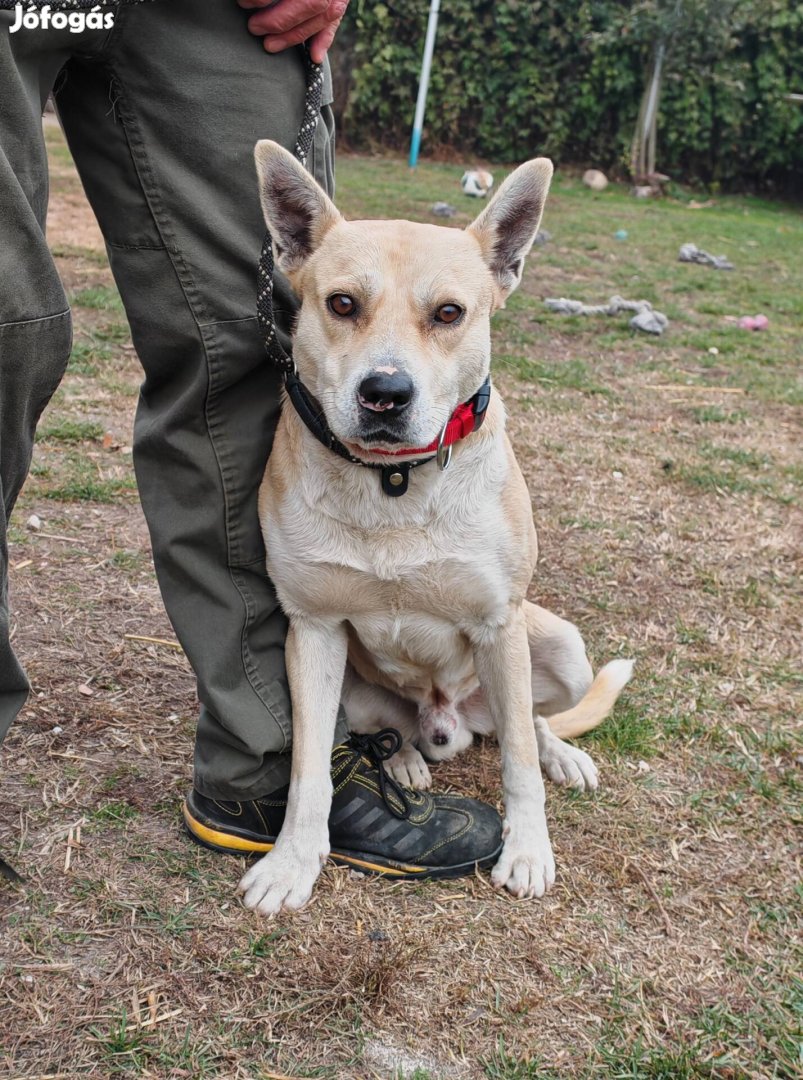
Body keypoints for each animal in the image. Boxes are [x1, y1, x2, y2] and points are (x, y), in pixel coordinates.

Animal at [238, 143, 634, 915]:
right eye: (341, 304)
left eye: (449, 313)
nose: (385, 395)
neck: (393, 481)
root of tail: (452, 720)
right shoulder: (312, 631)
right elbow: (307, 772)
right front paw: (292, 862)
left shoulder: (498, 625)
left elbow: (518, 763)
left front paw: (528, 851)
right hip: (356, 689)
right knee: (392, 732)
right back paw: (410, 765)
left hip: (558, 649)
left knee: (527, 723)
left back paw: (559, 752)